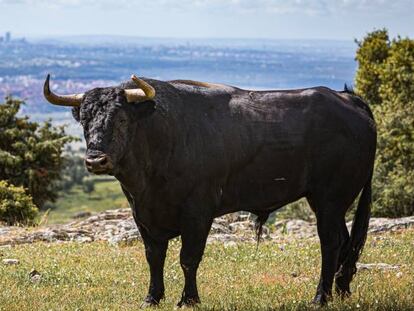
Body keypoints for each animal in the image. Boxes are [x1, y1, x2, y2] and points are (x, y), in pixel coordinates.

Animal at [62, 78, 378, 308]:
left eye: (122, 120)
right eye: (85, 121)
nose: (95, 160)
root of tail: (346, 98)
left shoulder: (198, 212)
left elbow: (189, 258)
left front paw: (188, 299)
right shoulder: (143, 214)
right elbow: (154, 256)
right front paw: (152, 297)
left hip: (330, 198)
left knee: (331, 242)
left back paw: (321, 297)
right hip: (331, 203)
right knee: (345, 240)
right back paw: (342, 290)